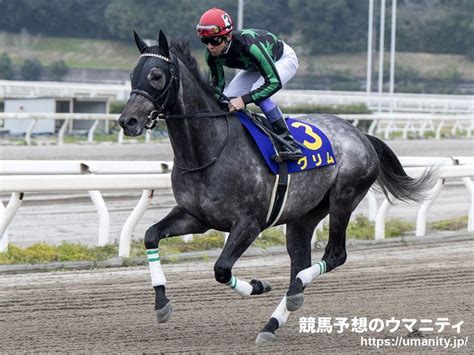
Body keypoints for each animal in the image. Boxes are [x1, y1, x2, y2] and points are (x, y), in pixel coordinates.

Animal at [117, 31, 434, 344]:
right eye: (133, 74)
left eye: (156, 75)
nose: (127, 121)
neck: (209, 149)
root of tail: (360, 134)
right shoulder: (196, 216)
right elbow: (150, 236)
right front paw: (161, 304)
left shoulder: (250, 222)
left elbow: (221, 269)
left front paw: (259, 285)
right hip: (304, 214)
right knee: (300, 260)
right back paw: (274, 321)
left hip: (344, 197)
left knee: (333, 256)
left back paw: (295, 291)